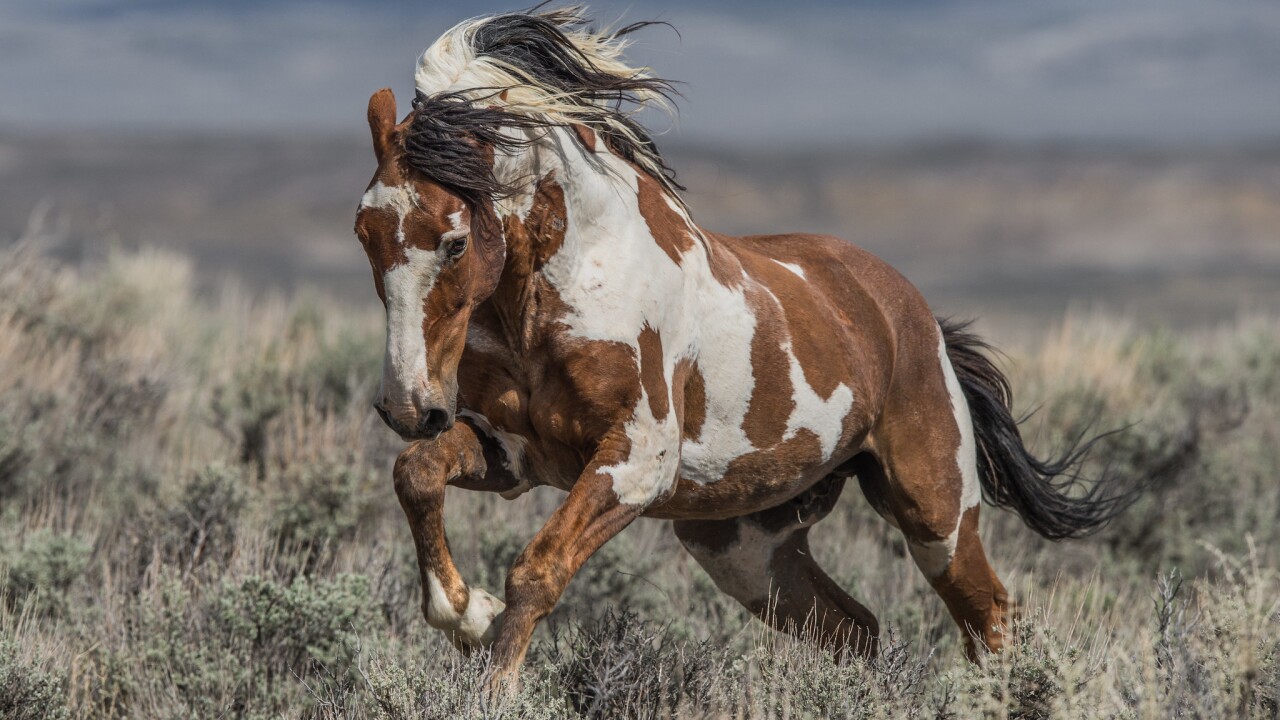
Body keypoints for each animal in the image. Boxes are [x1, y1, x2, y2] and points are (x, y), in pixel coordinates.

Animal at [353, 6, 1130, 682]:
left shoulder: (635, 461)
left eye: (455, 241)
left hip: (935, 514)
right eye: (363, 233)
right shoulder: (516, 453)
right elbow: (417, 474)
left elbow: (536, 570)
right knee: (855, 630)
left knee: (989, 617)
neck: (559, 291)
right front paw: (465, 614)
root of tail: (914, 316)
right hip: (745, 546)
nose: (408, 406)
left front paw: (492, 673)